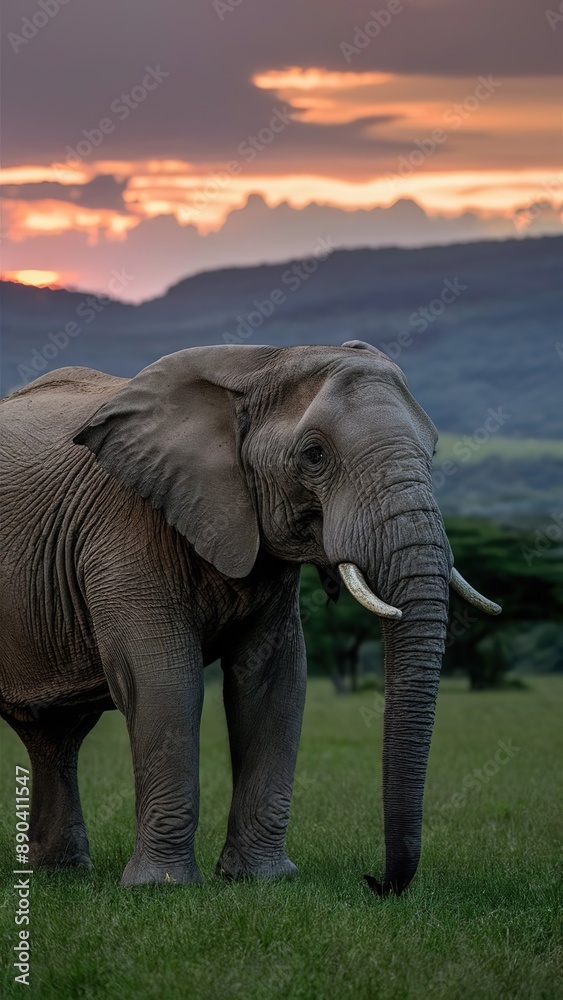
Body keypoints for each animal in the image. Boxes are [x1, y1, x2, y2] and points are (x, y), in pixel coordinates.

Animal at [0, 342, 500, 895]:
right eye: (314, 455)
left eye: (432, 453)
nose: (375, 881)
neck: (261, 361)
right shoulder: (125, 525)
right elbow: (163, 683)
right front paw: (162, 888)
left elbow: (273, 681)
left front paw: (260, 879)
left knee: (55, 734)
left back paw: (58, 873)